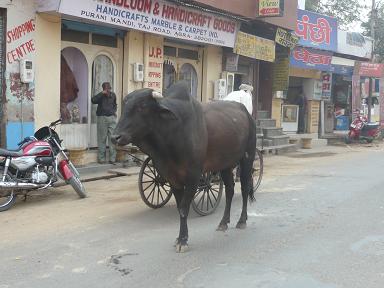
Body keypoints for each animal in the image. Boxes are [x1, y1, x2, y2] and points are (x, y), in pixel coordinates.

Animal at [111, 81, 255, 252]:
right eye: (124, 105)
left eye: (142, 106)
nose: (115, 137)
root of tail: (245, 111)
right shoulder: (173, 179)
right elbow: (180, 207)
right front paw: (180, 237)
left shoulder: (193, 177)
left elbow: (184, 208)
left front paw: (183, 240)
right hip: (225, 165)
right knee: (230, 190)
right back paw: (223, 222)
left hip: (247, 158)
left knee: (245, 187)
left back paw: (242, 221)